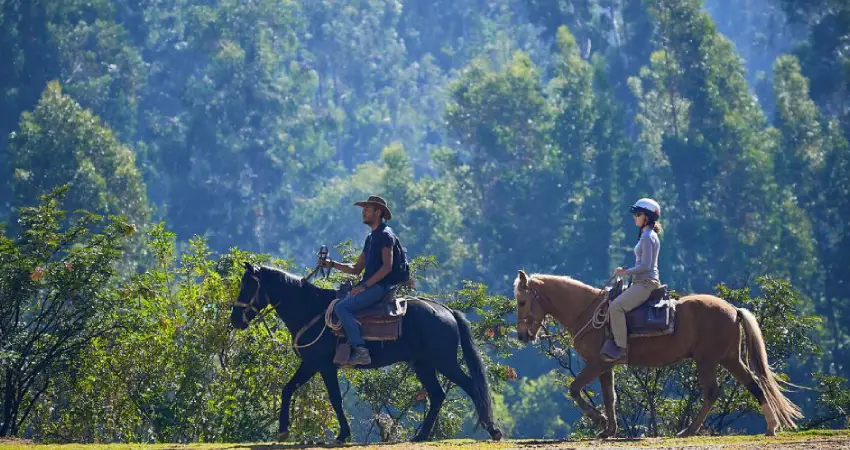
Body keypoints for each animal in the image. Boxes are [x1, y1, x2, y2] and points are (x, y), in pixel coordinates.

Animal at [229, 262, 500, 442]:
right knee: (437, 394)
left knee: (470, 386)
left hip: (444, 362)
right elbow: (287, 389)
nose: (235, 320)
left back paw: (493, 430)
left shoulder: (323, 366)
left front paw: (343, 434)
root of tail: (446, 310)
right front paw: (284, 430)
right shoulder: (311, 364)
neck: (310, 310)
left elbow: (335, 398)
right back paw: (421, 436)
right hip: (423, 364)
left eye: (249, 285)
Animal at [510, 268, 800, 438]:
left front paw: (599, 421)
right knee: (754, 385)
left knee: (712, 392)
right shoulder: (606, 366)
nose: (523, 335)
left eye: (522, 301)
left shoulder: (596, 364)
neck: (589, 311)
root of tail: (733, 309)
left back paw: (689, 430)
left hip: (708, 361)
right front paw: (609, 429)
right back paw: (771, 427)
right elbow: (609, 397)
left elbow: (574, 389)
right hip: (729, 359)